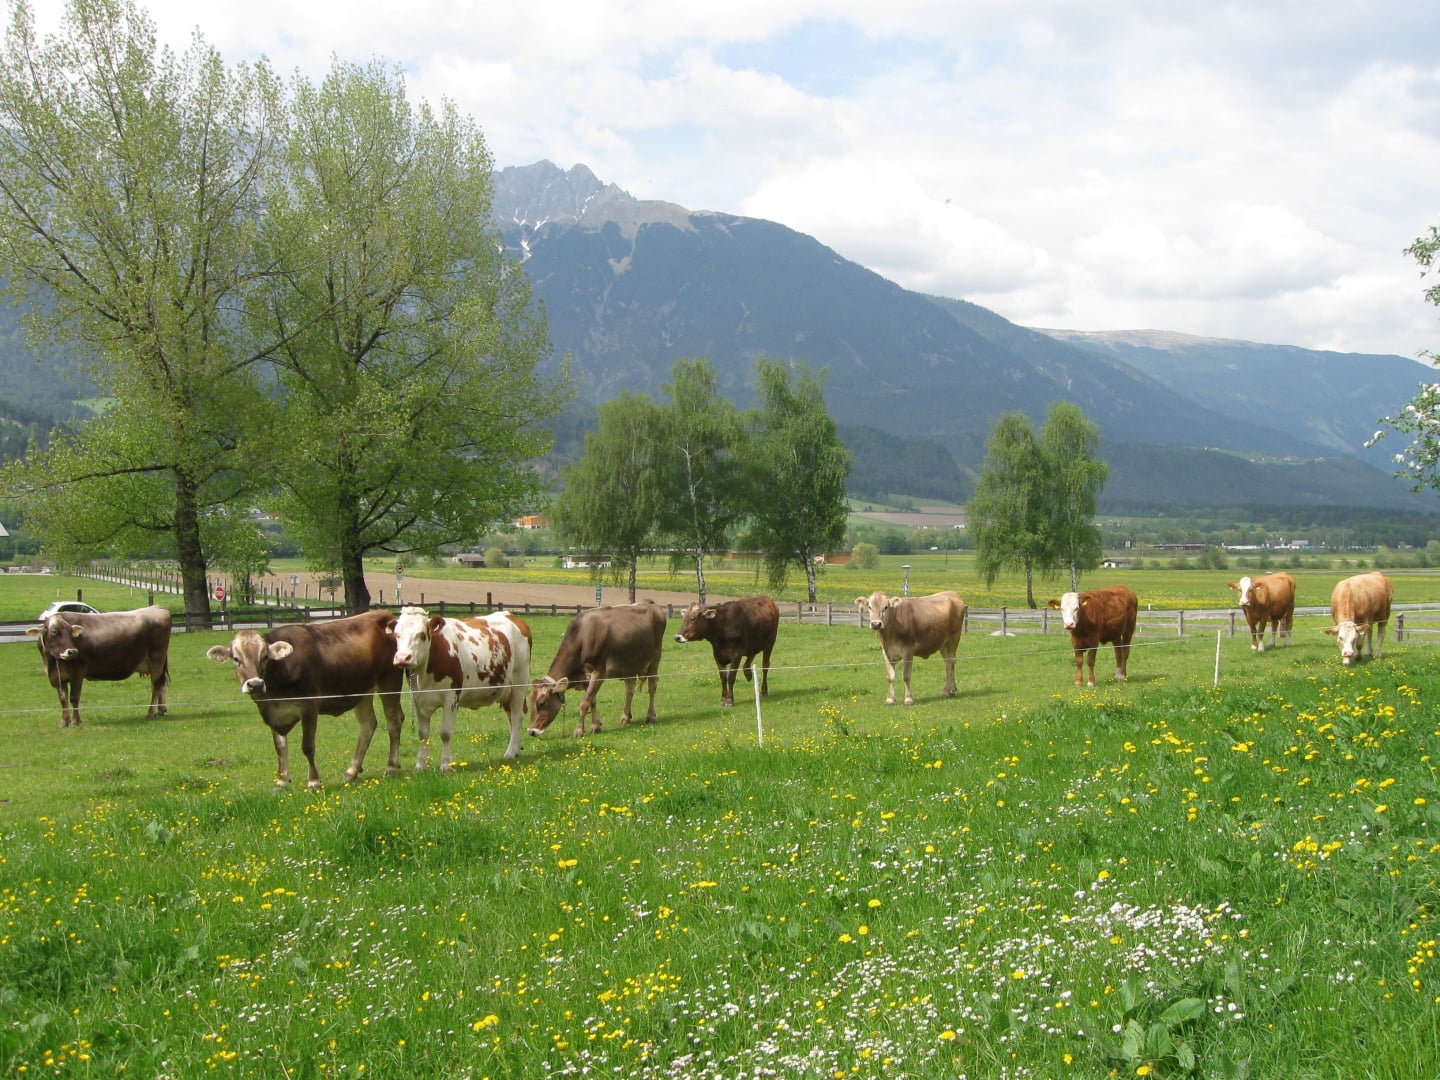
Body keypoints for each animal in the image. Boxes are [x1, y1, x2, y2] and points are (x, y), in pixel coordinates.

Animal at [27, 606, 172, 728]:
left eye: (70, 632)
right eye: (54, 632)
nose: (73, 652)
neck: (53, 661)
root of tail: (157, 607)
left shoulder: (77, 672)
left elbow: (74, 697)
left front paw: (75, 721)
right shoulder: (57, 676)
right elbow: (63, 699)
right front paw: (64, 721)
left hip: (156, 658)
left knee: (156, 684)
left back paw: (151, 712)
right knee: (162, 683)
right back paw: (161, 710)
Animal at [207, 609, 405, 790]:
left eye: (264, 657)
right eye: (236, 658)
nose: (255, 684)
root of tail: (384, 616)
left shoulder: (309, 707)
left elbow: (308, 746)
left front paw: (313, 781)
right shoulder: (273, 713)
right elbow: (280, 747)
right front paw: (281, 781)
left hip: (389, 682)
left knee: (394, 720)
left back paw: (391, 766)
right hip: (362, 690)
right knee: (367, 725)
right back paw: (352, 770)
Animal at [388, 606, 532, 770]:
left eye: (422, 635)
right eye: (397, 635)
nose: (402, 658)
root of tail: (512, 616)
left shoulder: (451, 698)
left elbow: (445, 733)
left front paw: (446, 765)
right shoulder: (418, 699)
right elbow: (423, 734)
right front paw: (420, 765)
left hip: (519, 682)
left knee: (517, 715)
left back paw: (510, 752)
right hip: (506, 690)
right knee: (511, 716)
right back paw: (516, 749)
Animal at [529, 600, 667, 739]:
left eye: (542, 703)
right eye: (530, 702)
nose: (531, 731)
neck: (582, 637)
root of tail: (649, 603)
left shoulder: (598, 672)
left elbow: (584, 703)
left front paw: (579, 730)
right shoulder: (586, 677)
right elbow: (592, 700)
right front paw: (595, 725)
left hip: (655, 657)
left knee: (652, 686)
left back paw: (650, 716)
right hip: (629, 664)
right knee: (629, 690)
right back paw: (625, 717)